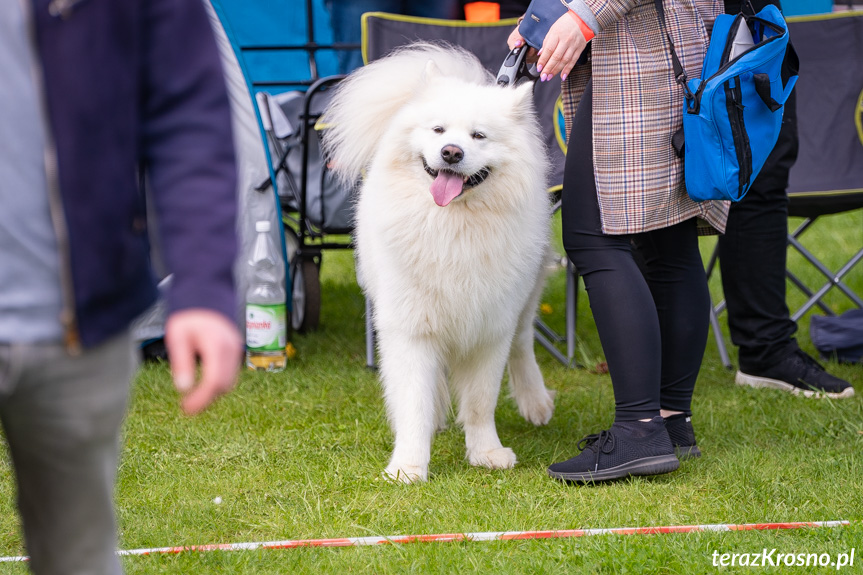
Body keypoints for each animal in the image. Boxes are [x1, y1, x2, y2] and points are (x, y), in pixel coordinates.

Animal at [322, 44, 552, 482]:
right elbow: (414, 401)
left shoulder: (489, 327)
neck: (452, 227)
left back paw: (535, 401)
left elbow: (481, 401)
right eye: (439, 131)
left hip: (525, 298)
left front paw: (486, 452)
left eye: (479, 135)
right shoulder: (411, 327)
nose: (451, 153)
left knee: (523, 342)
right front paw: (408, 466)